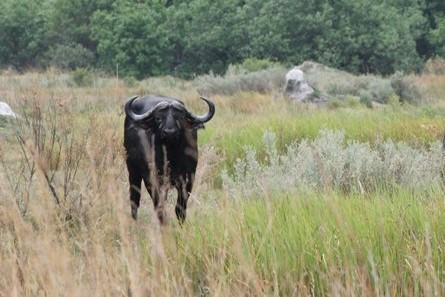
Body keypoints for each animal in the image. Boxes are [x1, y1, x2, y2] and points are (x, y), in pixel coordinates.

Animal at [122, 93, 214, 223]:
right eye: (158, 118)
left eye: (179, 117)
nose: (169, 132)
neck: (171, 157)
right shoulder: (151, 178)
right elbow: (159, 206)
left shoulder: (188, 178)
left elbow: (180, 208)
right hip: (132, 171)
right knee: (134, 199)